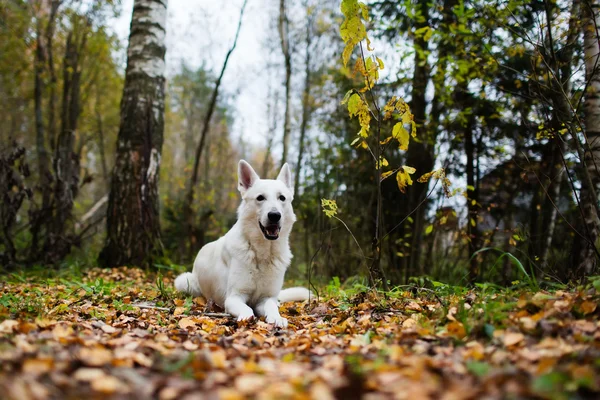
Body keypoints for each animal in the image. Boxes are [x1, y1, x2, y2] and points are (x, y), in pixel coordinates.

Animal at [175, 159, 310, 328]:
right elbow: (247, 309)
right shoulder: (234, 297)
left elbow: (272, 306)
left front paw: (277, 318)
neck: (262, 255)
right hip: (184, 282)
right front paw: (246, 319)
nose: (274, 215)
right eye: (260, 198)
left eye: (282, 198)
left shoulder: (266, 298)